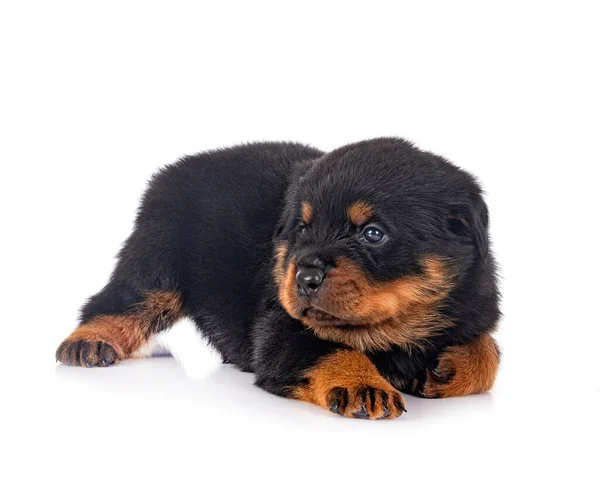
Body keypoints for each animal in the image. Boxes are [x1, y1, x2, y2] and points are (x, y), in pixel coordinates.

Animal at [56, 137, 500, 418]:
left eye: (373, 233)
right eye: (301, 228)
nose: (305, 277)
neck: (396, 326)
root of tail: (177, 169)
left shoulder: (474, 305)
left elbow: (488, 352)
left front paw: (449, 368)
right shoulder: (279, 328)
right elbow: (325, 349)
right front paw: (361, 383)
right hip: (157, 256)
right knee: (122, 298)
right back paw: (88, 341)